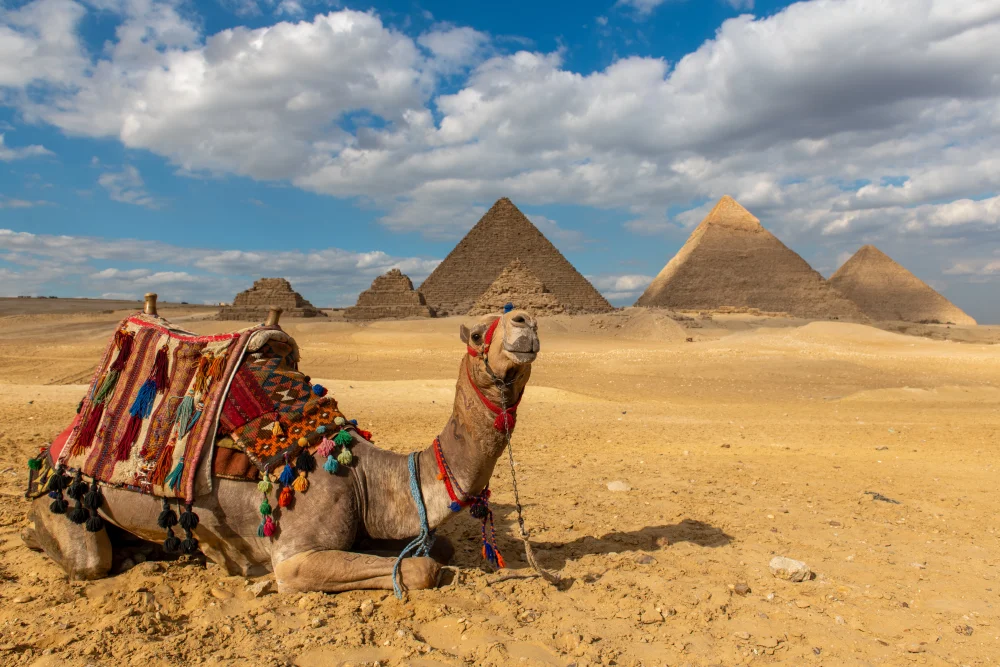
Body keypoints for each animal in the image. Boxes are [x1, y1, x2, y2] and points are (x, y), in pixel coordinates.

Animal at [23, 307, 540, 593]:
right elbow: (424, 570)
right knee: (87, 560)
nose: (526, 321)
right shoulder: (295, 559)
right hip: (63, 500)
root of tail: (56, 444)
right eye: (479, 334)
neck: (366, 477)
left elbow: (440, 547)